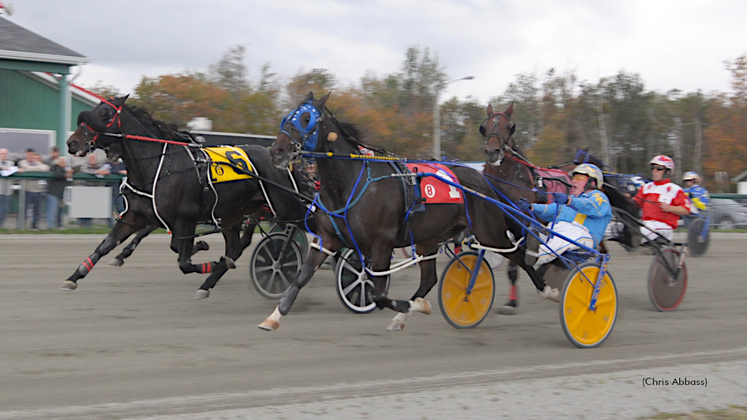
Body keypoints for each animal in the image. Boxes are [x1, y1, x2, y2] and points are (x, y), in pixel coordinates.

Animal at [60, 95, 312, 298]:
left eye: (104, 114)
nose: (72, 142)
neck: (158, 167)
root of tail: (282, 161)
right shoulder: (136, 216)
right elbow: (105, 245)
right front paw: (73, 277)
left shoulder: (185, 220)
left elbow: (184, 262)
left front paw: (205, 254)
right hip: (234, 214)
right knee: (235, 249)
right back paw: (209, 283)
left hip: (283, 206)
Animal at [258, 92, 556, 332]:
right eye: (287, 117)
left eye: (307, 118)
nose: (277, 151)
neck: (350, 183)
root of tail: (484, 180)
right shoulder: (327, 240)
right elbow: (300, 277)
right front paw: (273, 317)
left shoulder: (381, 246)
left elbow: (378, 296)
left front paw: (415, 307)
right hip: (428, 239)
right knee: (430, 278)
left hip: (489, 232)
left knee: (518, 255)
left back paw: (548, 290)